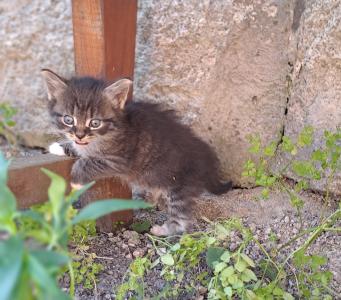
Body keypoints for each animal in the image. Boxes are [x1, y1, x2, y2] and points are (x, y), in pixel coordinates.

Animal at [40, 68, 231, 237]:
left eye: (94, 123)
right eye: (68, 119)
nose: (79, 135)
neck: (112, 129)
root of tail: (207, 159)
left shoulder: (118, 160)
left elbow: (89, 161)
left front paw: (77, 180)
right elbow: (78, 148)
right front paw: (60, 147)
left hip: (180, 185)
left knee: (182, 219)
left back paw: (163, 230)